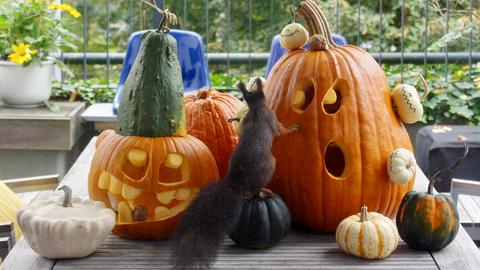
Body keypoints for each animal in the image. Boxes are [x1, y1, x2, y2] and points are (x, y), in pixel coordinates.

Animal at [171, 77, 298, 268]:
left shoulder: (247, 119)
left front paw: (234, 119)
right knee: (254, 189)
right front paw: (293, 128)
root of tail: (235, 180)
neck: (256, 108)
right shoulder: (270, 117)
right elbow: (281, 131)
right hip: (270, 165)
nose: (258, 80)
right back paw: (264, 190)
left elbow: (241, 124)